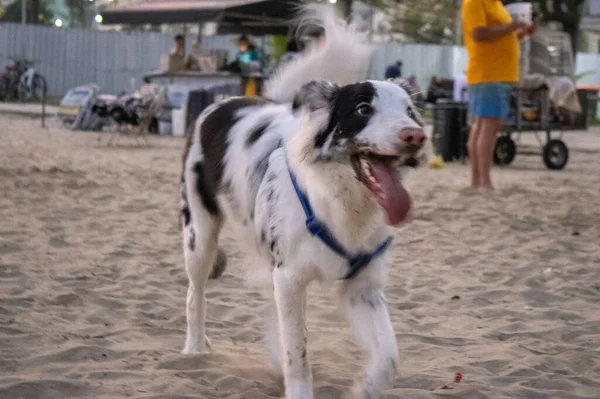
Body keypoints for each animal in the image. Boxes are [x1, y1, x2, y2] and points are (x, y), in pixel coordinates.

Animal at [178, 4, 426, 398]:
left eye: (409, 111)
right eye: (362, 110)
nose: (416, 135)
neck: (342, 203)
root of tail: (221, 103)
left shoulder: (362, 287)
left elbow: (389, 356)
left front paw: (364, 389)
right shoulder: (290, 278)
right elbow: (298, 352)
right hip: (199, 235)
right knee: (195, 294)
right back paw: (195, 349)